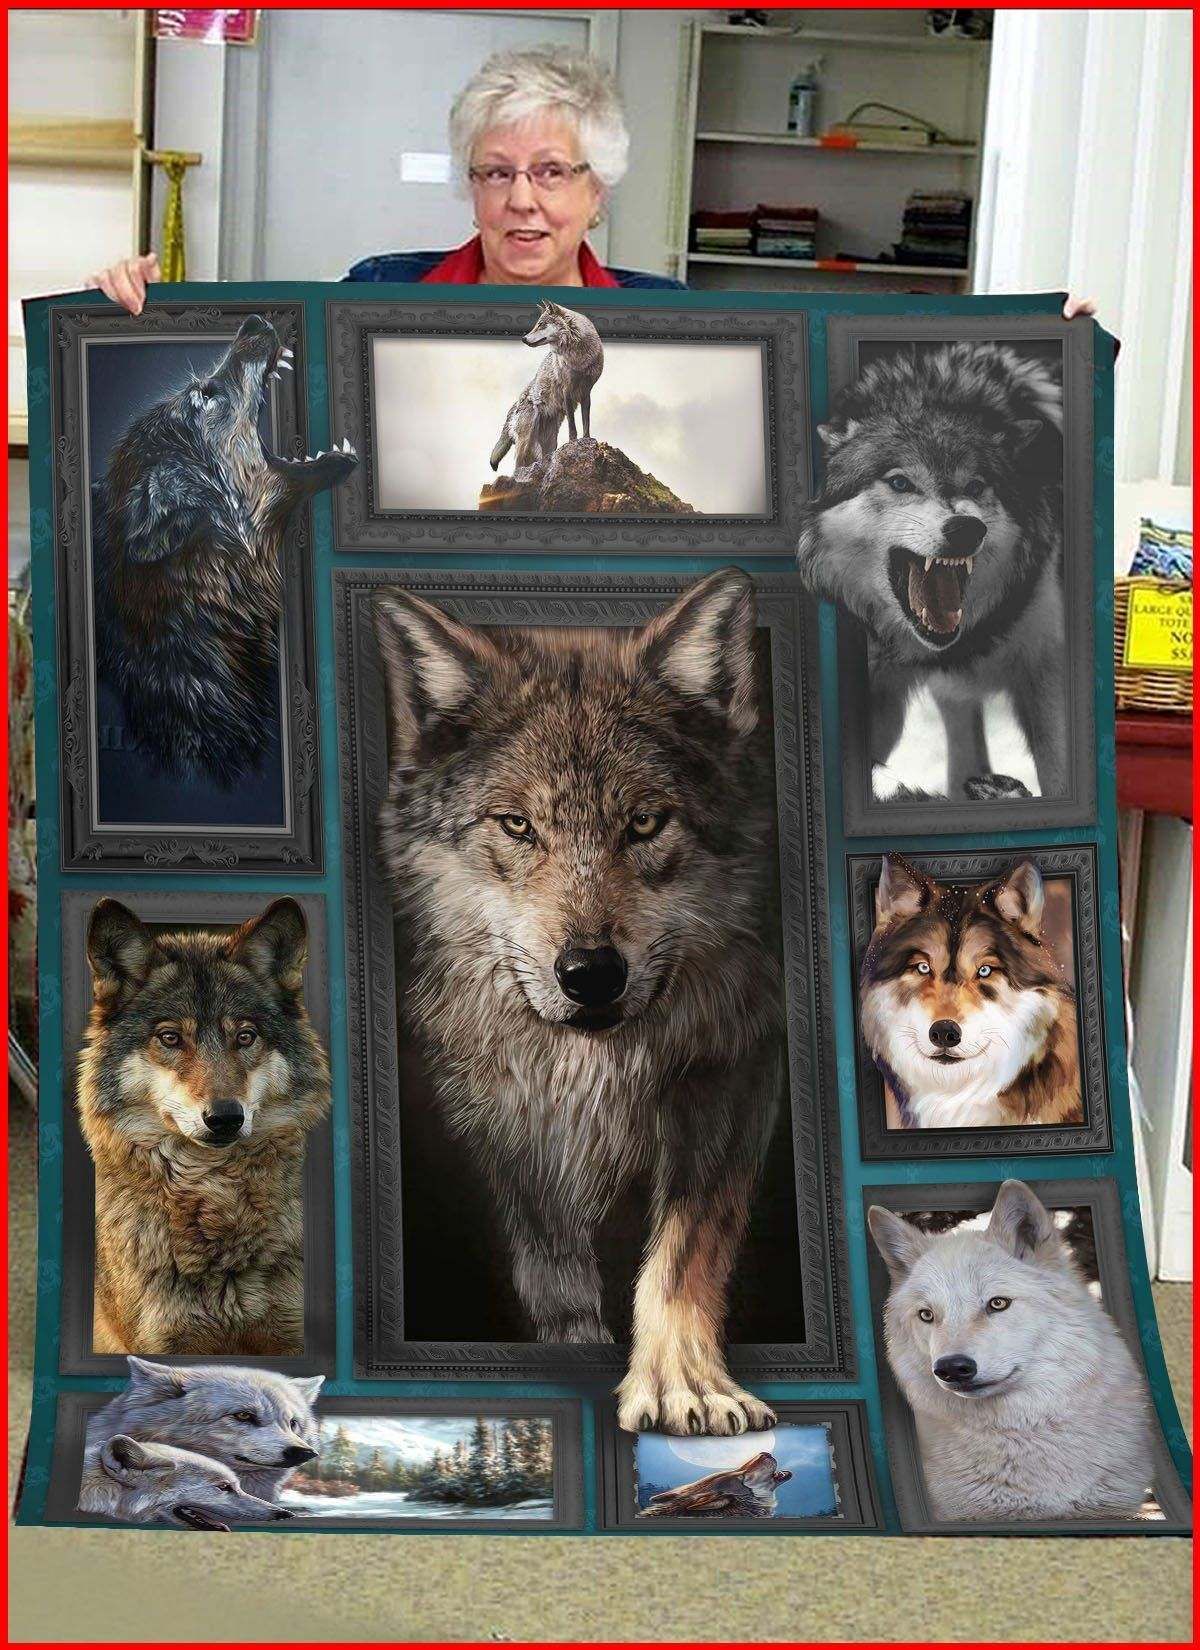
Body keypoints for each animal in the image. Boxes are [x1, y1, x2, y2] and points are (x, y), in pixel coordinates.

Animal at [77, 897, 331, 1355]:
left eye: (245, 1037)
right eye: (171, 1038)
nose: (225, 1116)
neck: (215, 1192)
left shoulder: (290, 1338)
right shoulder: (162, 1344)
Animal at [373, 567, 782, 1436]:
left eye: (645, 823)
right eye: (517, 825)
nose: (590, 972)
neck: (589, 1072)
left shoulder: (736, 1075)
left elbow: (683, 1249)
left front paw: (684, 1382)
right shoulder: (502, 1120)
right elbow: (551, 1259)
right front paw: (576, 1342)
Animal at [489, 300, 604, 476]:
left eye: (541, 324)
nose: (523, 338)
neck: (578, 356)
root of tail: (513, 408)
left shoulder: (586, 392)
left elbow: (586, 422)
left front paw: (587, 441)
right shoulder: (566, 391)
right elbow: (572, 426)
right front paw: (573, 443)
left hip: (549, 442)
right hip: (526, 442)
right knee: (517, 467)